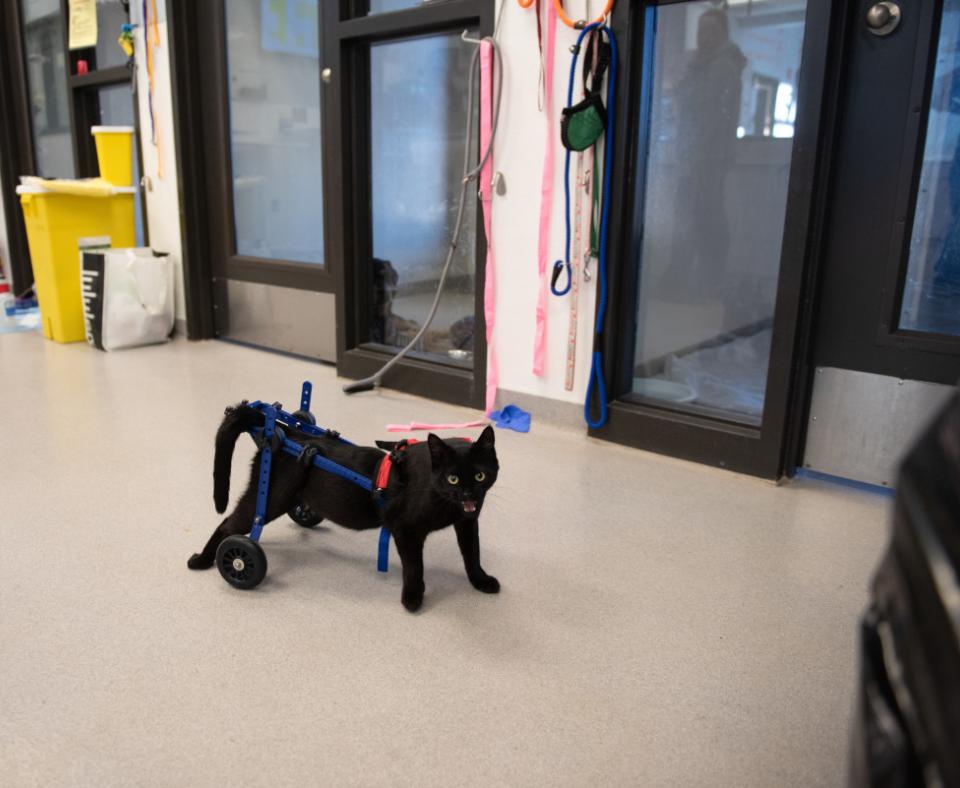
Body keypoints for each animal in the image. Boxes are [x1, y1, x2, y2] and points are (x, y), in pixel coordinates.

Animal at [188, 406, 502, 616]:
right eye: (453, 478)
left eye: (479, 476)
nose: (469, 494)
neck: (447, 504)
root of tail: (285, 430)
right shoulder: (406, 530)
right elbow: (414, 567)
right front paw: (412, 597)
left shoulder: (467, 522)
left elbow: (472, 554)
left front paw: (481, 581)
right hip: (269, 498)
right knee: (230, 524)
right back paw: (207, 560)